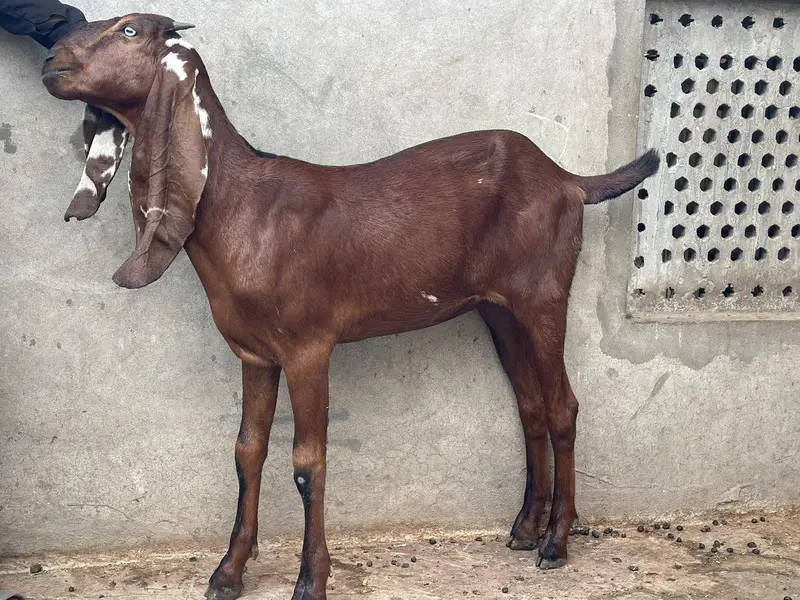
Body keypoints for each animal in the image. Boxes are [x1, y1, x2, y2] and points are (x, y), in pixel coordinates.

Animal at [42, 13, 659, 600]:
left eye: (128, 28)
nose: (52, 59)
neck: (244, 205)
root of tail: (567, 180)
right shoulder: (256, 353)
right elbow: (247, 451)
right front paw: (228, 572)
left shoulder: (309, 347)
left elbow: (307, 461)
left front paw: (311, 579)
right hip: (499, 311)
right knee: (530, 405)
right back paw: (525, 529)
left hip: (543, 296)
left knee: (562, 407)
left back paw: (556, 542)